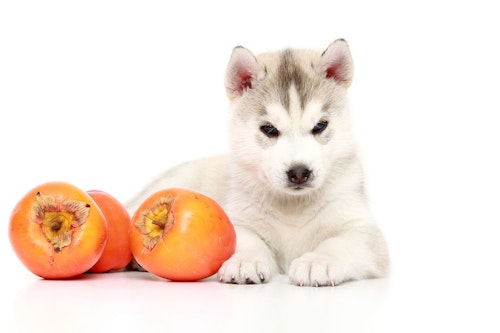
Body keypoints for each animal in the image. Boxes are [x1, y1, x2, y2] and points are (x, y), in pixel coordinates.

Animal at [124, 39, 386, 286]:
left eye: (320, 126)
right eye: (269, 129)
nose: (299, 172)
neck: (293, 206)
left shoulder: (363, 230)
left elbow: (340, 244)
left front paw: (318, 262)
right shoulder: (239, 219)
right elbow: (247, 240)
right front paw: (246, 261)